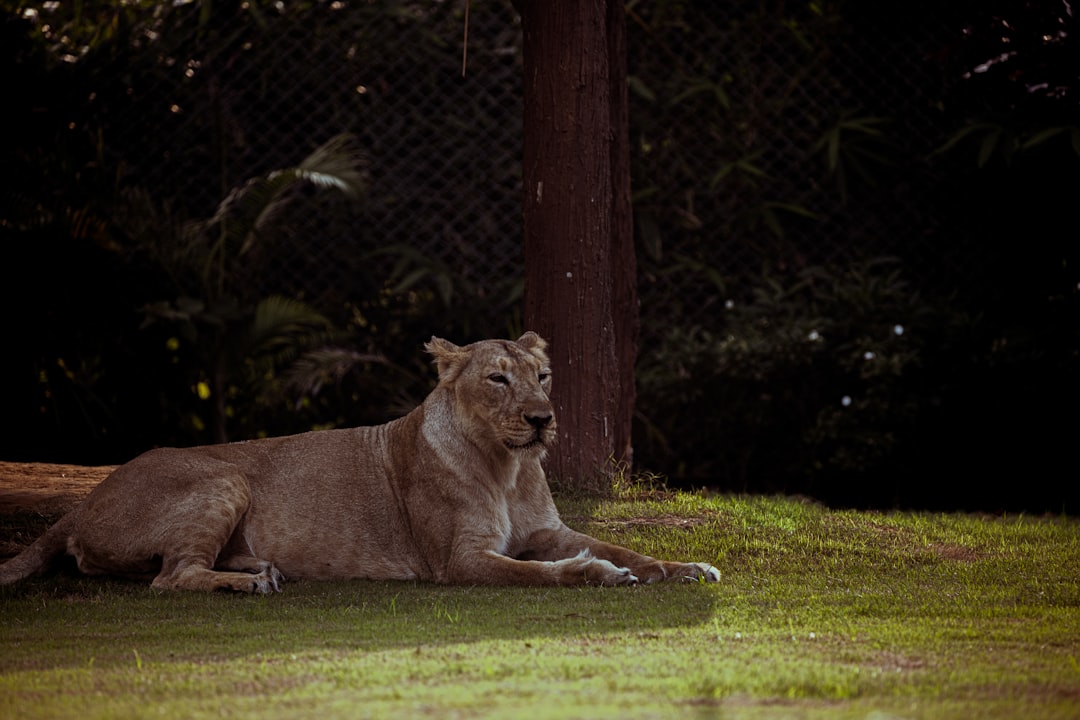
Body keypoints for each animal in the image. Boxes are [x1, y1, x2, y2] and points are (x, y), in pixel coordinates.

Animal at [0, 332, 719, 593]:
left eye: (541, 376)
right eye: (498, 379)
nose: (543, 419)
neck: (508, 467)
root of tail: (82, 503)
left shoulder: (549, 530)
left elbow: (623, 546)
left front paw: (684, 568)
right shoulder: (459, 562)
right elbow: (545, 573)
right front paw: (599, 574)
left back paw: (257, 567)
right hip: (223, 476)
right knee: (169, 578)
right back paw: (249, 583)